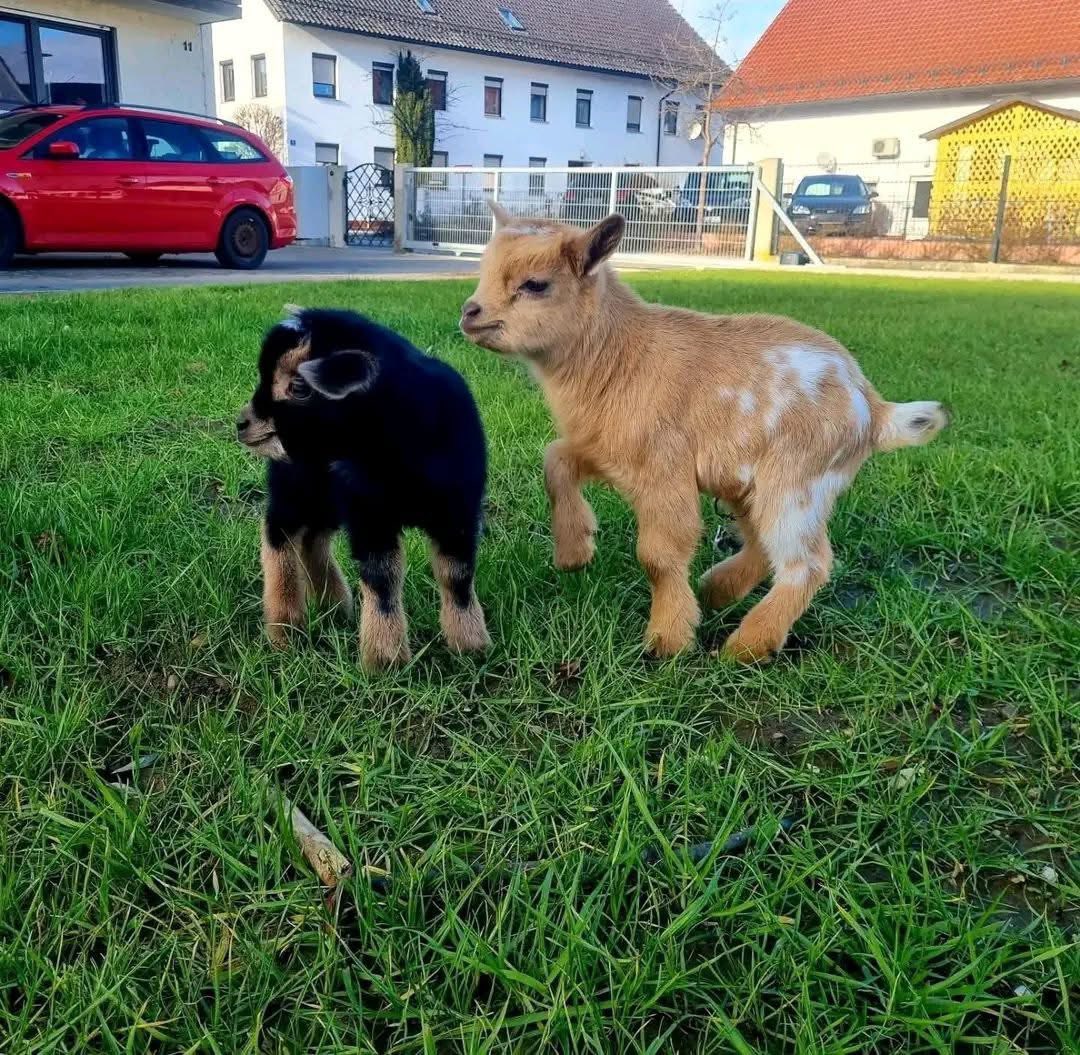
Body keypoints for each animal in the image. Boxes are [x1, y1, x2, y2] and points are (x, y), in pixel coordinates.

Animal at [236, 306, 490, 669]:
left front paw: (470, 646)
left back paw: (335, 608)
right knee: (278, 533)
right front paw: (385, 660)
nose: (242, 423)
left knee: (313, 540)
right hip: (295, 489)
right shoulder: (371, 515)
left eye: (298, 386)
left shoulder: (457, 511)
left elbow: (457, 576)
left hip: (326, 498)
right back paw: (285, 629)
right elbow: (382, 579)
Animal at [460, 207, 947, 662]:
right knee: (764, 542)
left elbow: (659, 556)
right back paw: (717, 591)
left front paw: (667, 641)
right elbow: (555, 461)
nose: (470, 314)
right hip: (750, 484)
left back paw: (747, 646)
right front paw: (574, 552)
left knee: (806, 563)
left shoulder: (663, 468)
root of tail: (874, 408)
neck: (619, 356)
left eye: (535, 284)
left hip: (797, 481)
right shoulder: (607, 449)